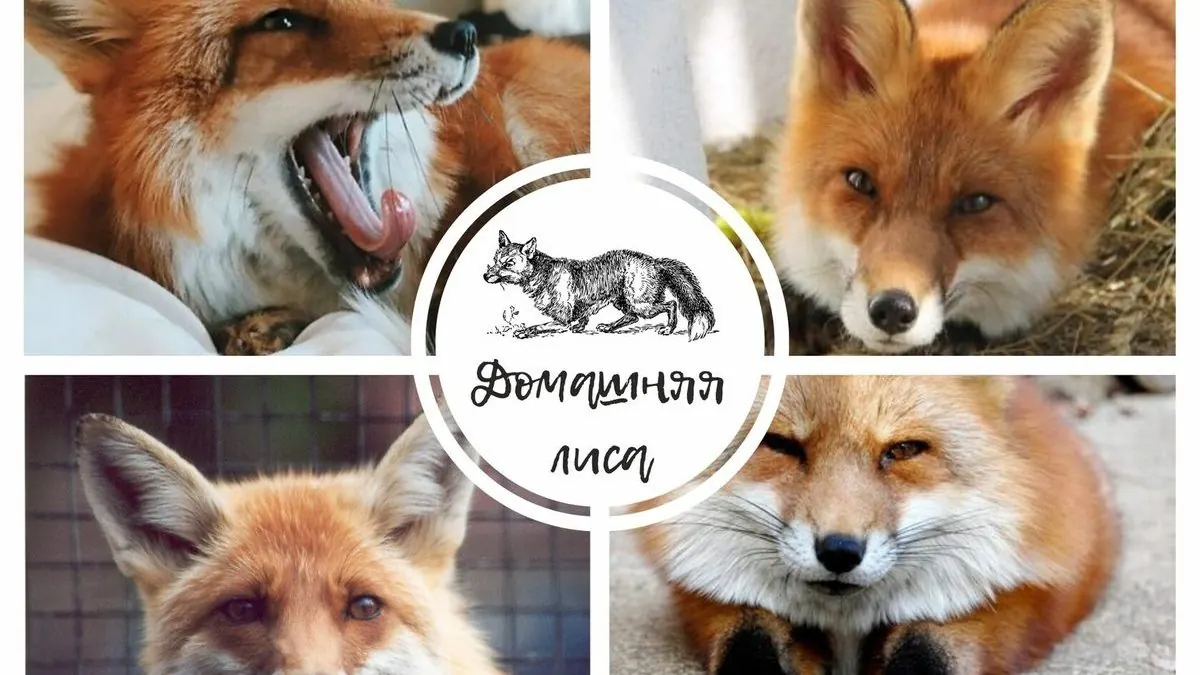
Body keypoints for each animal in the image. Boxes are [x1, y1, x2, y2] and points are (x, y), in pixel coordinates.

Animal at [482, 230, 717, 341]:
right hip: (622, 302)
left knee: (671, 305)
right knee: (632, 317)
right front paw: (580, 327)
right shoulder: (582, 308)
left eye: (508, 264)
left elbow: (537, 326)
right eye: (495, 260)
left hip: (642, 304)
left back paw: (669, 328)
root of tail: (654, 261)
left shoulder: (561, 320)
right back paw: (609, 327)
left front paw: (524, 332)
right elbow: (583, 318)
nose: (485, 275)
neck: (543, 274)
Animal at [637, 376, 1118, 675]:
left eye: (903, 450)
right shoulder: (718, 601)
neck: (844, 624)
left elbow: (926, 655)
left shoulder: (993, 608)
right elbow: (746, 648)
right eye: (780, 445)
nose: (839, 552)